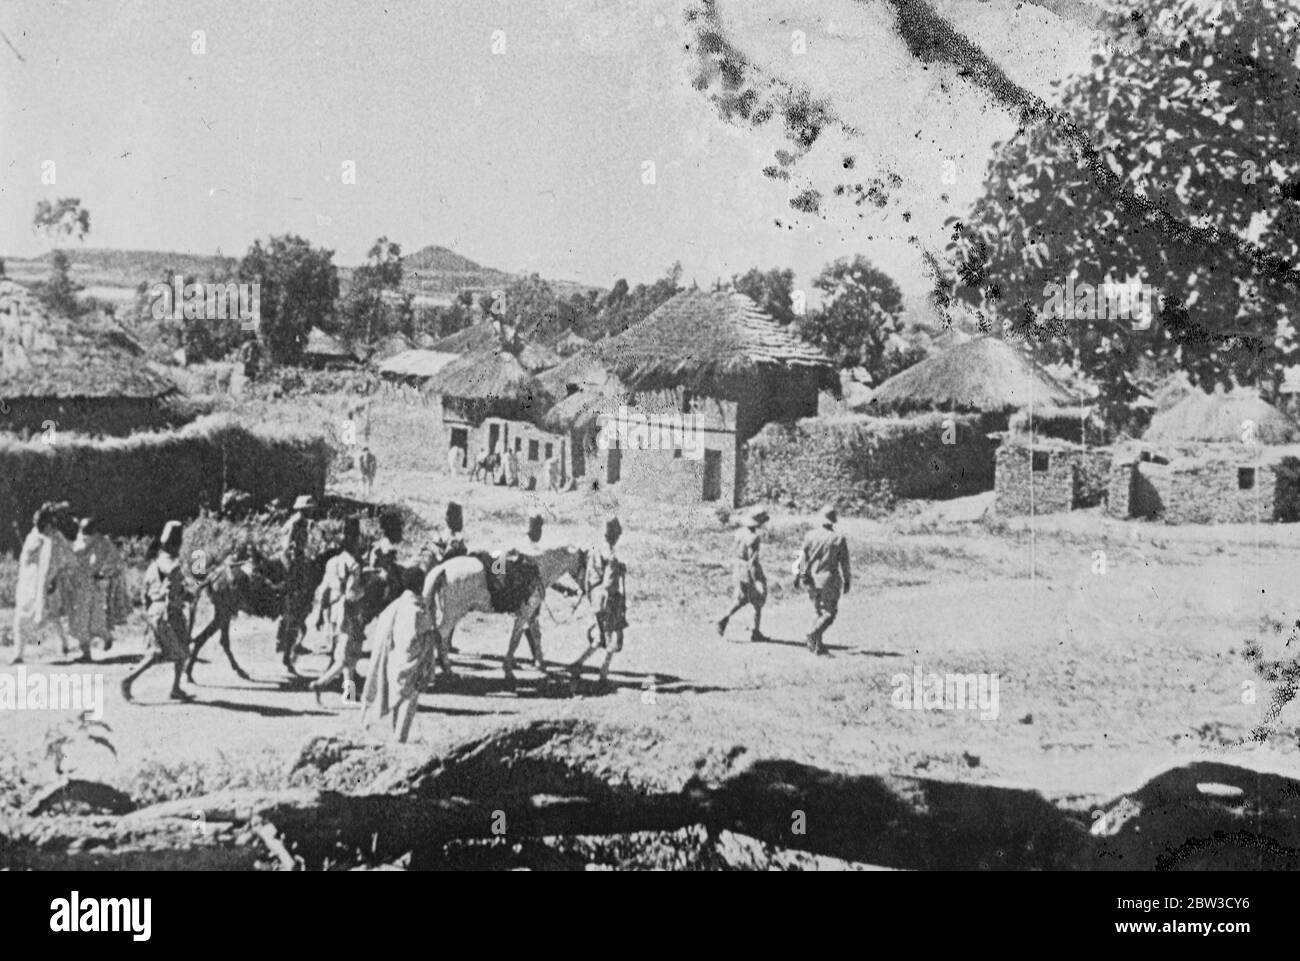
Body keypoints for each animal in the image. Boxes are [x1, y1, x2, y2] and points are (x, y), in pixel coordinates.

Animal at [423, 548, 587, 686]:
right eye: (585, 563)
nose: (585, 589)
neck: (538, 570)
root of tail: (443, 568)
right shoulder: (524, 614)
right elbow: (515, 640)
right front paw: (509, 672)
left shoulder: (531, 615)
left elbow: (536, 636)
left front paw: (542, 666)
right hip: (454, 613)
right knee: (441, 635)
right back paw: (448, 670)